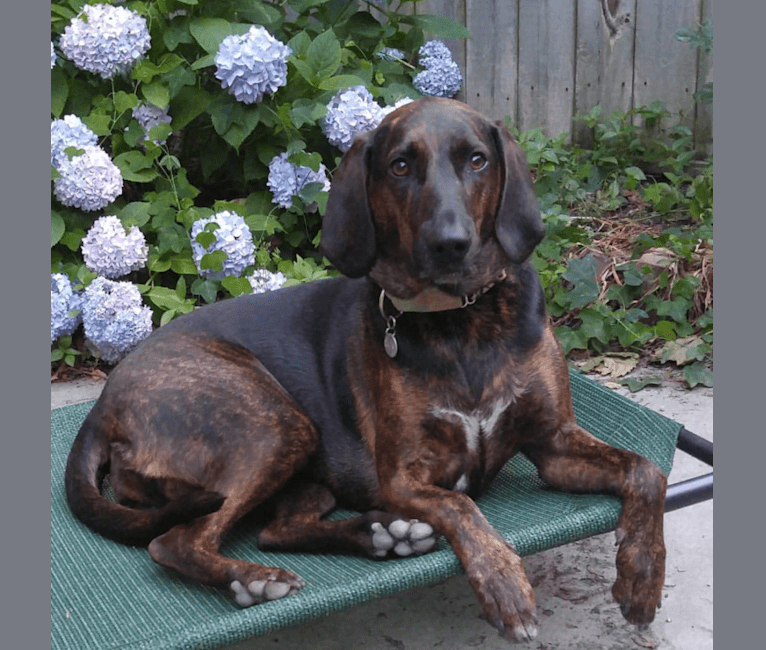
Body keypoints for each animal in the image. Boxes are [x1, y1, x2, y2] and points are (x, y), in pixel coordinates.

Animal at [64, 98, 664, 640]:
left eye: (477, 160)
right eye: (399, 166)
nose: (450, 244)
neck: (461, 323)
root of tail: (102, 403)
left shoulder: (555, 444)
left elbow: (647, 471)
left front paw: (643, 576)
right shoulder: (404, 476)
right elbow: (463, 507)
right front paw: (504, 583)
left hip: (302, 465)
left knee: (278, 529)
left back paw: (380, 536)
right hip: (274, 423)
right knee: (176, 541)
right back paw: (255, 579)